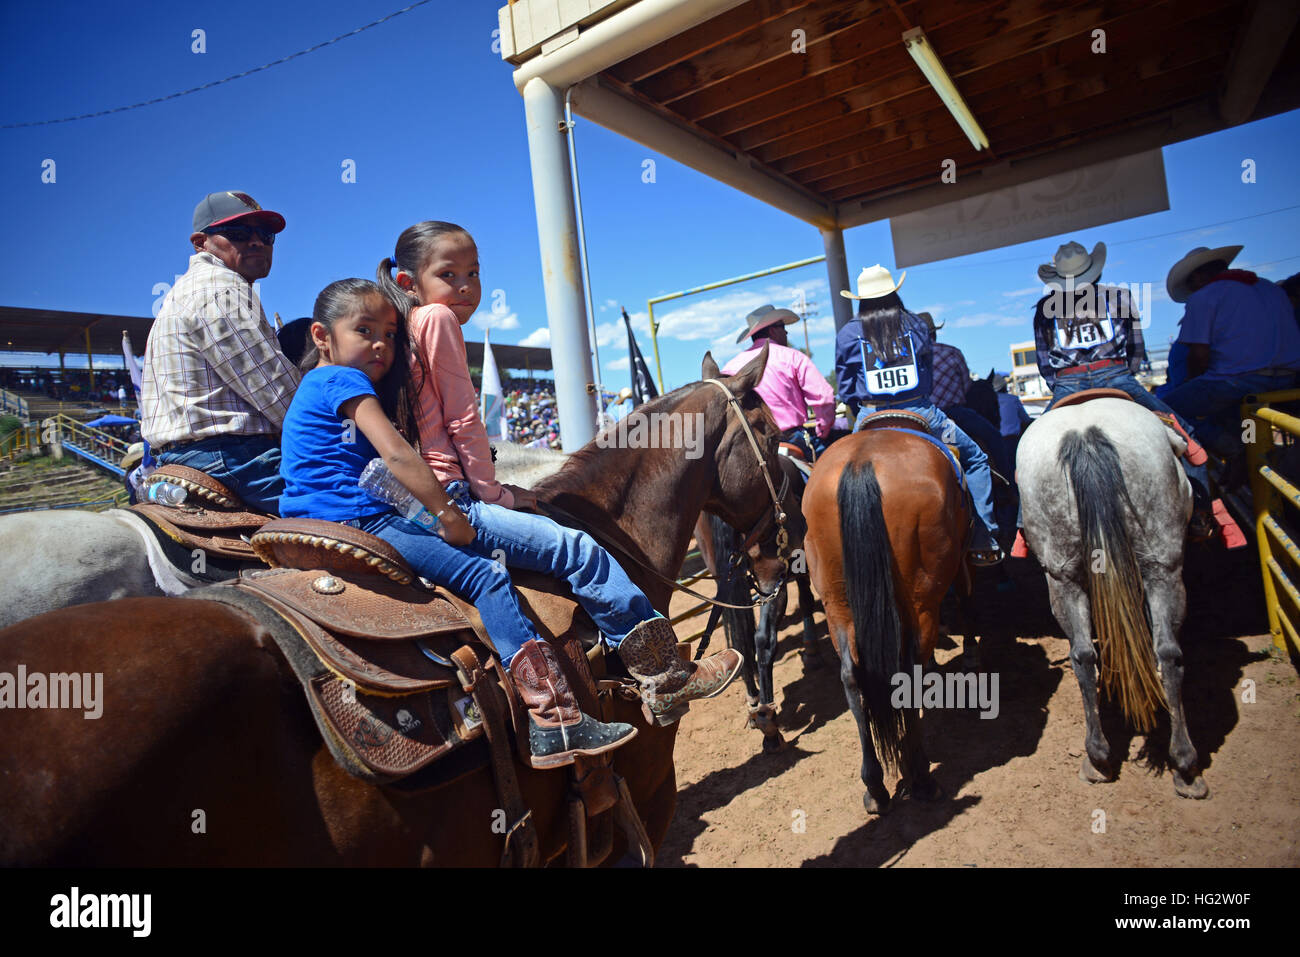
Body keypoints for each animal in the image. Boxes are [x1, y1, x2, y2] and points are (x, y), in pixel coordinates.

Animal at [800, 426, 977, 816]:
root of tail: (861, 462)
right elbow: (965, 597)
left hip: (837, 603)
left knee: (851, 676)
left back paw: (876, 787)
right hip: (920, 599)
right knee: (907, 670)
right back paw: (922, 777)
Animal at [1013, 397, 1206, 800]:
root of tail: (1085, 434)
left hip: (1062, 578)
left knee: (1085, 657)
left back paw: (1099, 757)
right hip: (1163, 567)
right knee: (1169, 653)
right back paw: (1185, 765)